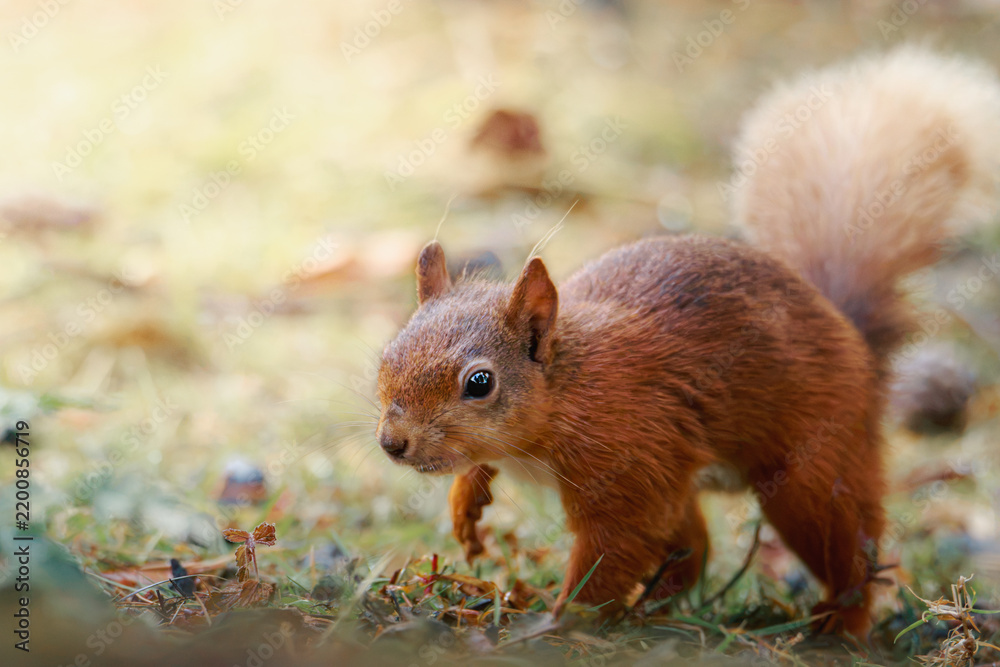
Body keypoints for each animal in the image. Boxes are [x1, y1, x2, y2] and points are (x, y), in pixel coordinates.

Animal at [375, 47, 1000, 636]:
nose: (392, 443)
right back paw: (656, 611)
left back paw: (836, 626)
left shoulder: (630, 460)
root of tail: (855, 341)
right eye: (386, 358)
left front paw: (558, 622)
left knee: (850, 552)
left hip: (808, 467)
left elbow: (613, 552)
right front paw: (467, 505)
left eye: (480, 382)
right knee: (695, 547)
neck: (564, 396)